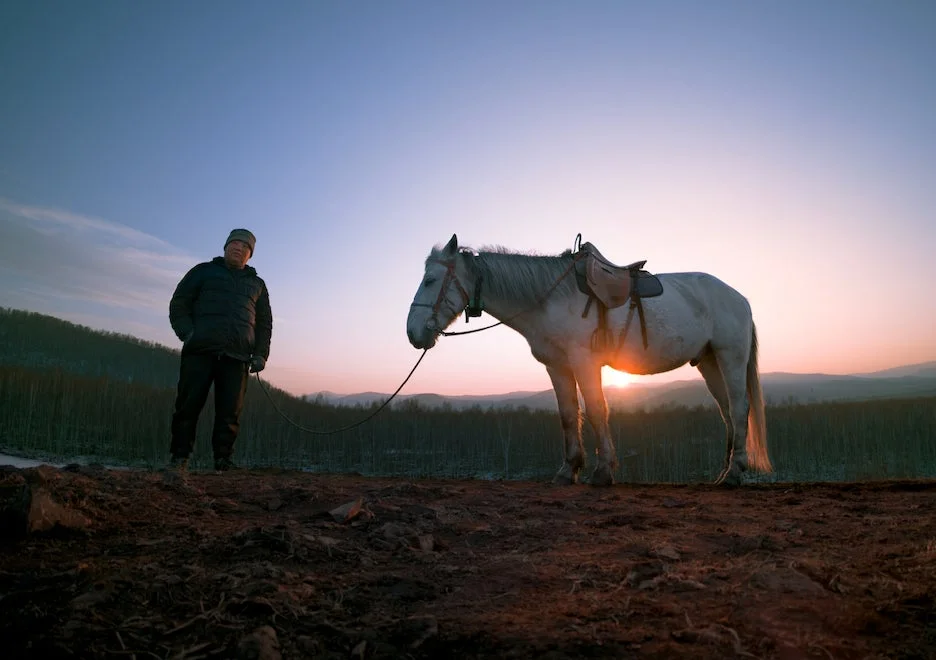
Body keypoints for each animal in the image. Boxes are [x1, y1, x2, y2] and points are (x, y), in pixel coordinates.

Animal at [406, 234, 772, 486]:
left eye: (430, 280)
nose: (413, 333)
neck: (548, 298)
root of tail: (740, 298)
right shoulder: (557, 367)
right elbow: (569, 415)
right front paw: (568, 470)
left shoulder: (584, 363)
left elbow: (596, 410)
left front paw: (603, 471)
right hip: (709, 362)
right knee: (727, 411)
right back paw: (724, 472)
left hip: (730, 357)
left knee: (739, 408)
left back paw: (734, 474)